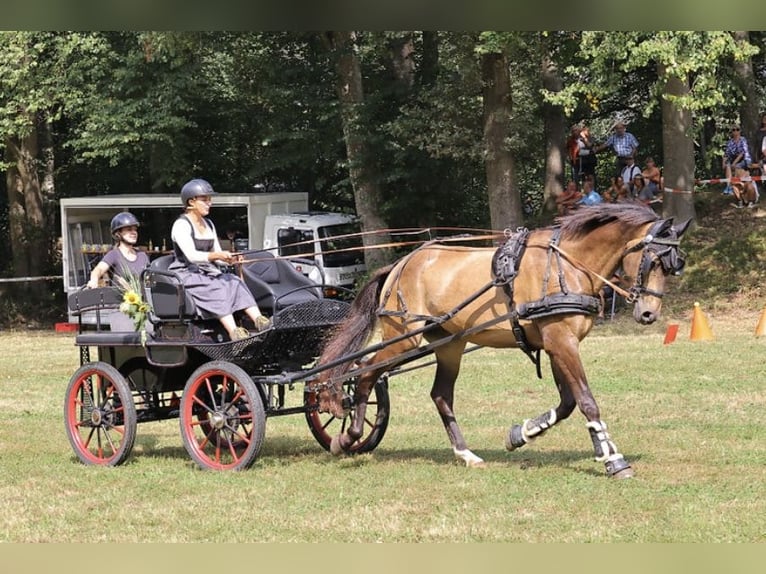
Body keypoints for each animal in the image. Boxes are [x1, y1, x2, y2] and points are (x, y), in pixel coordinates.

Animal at [310, 205, 688, 480]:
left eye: (674, 266)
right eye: (653, 260)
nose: (649, 314)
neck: (567, 264)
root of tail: (400, 264)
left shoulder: (557, 343)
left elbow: (567, 403)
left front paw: (521, 433)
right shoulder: (561, 341)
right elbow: (586, 401)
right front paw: (613, 458)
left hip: (448, 344)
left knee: (439, 395)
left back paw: (465, 453)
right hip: (403, 339)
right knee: (365, 374)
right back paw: (348, 436)